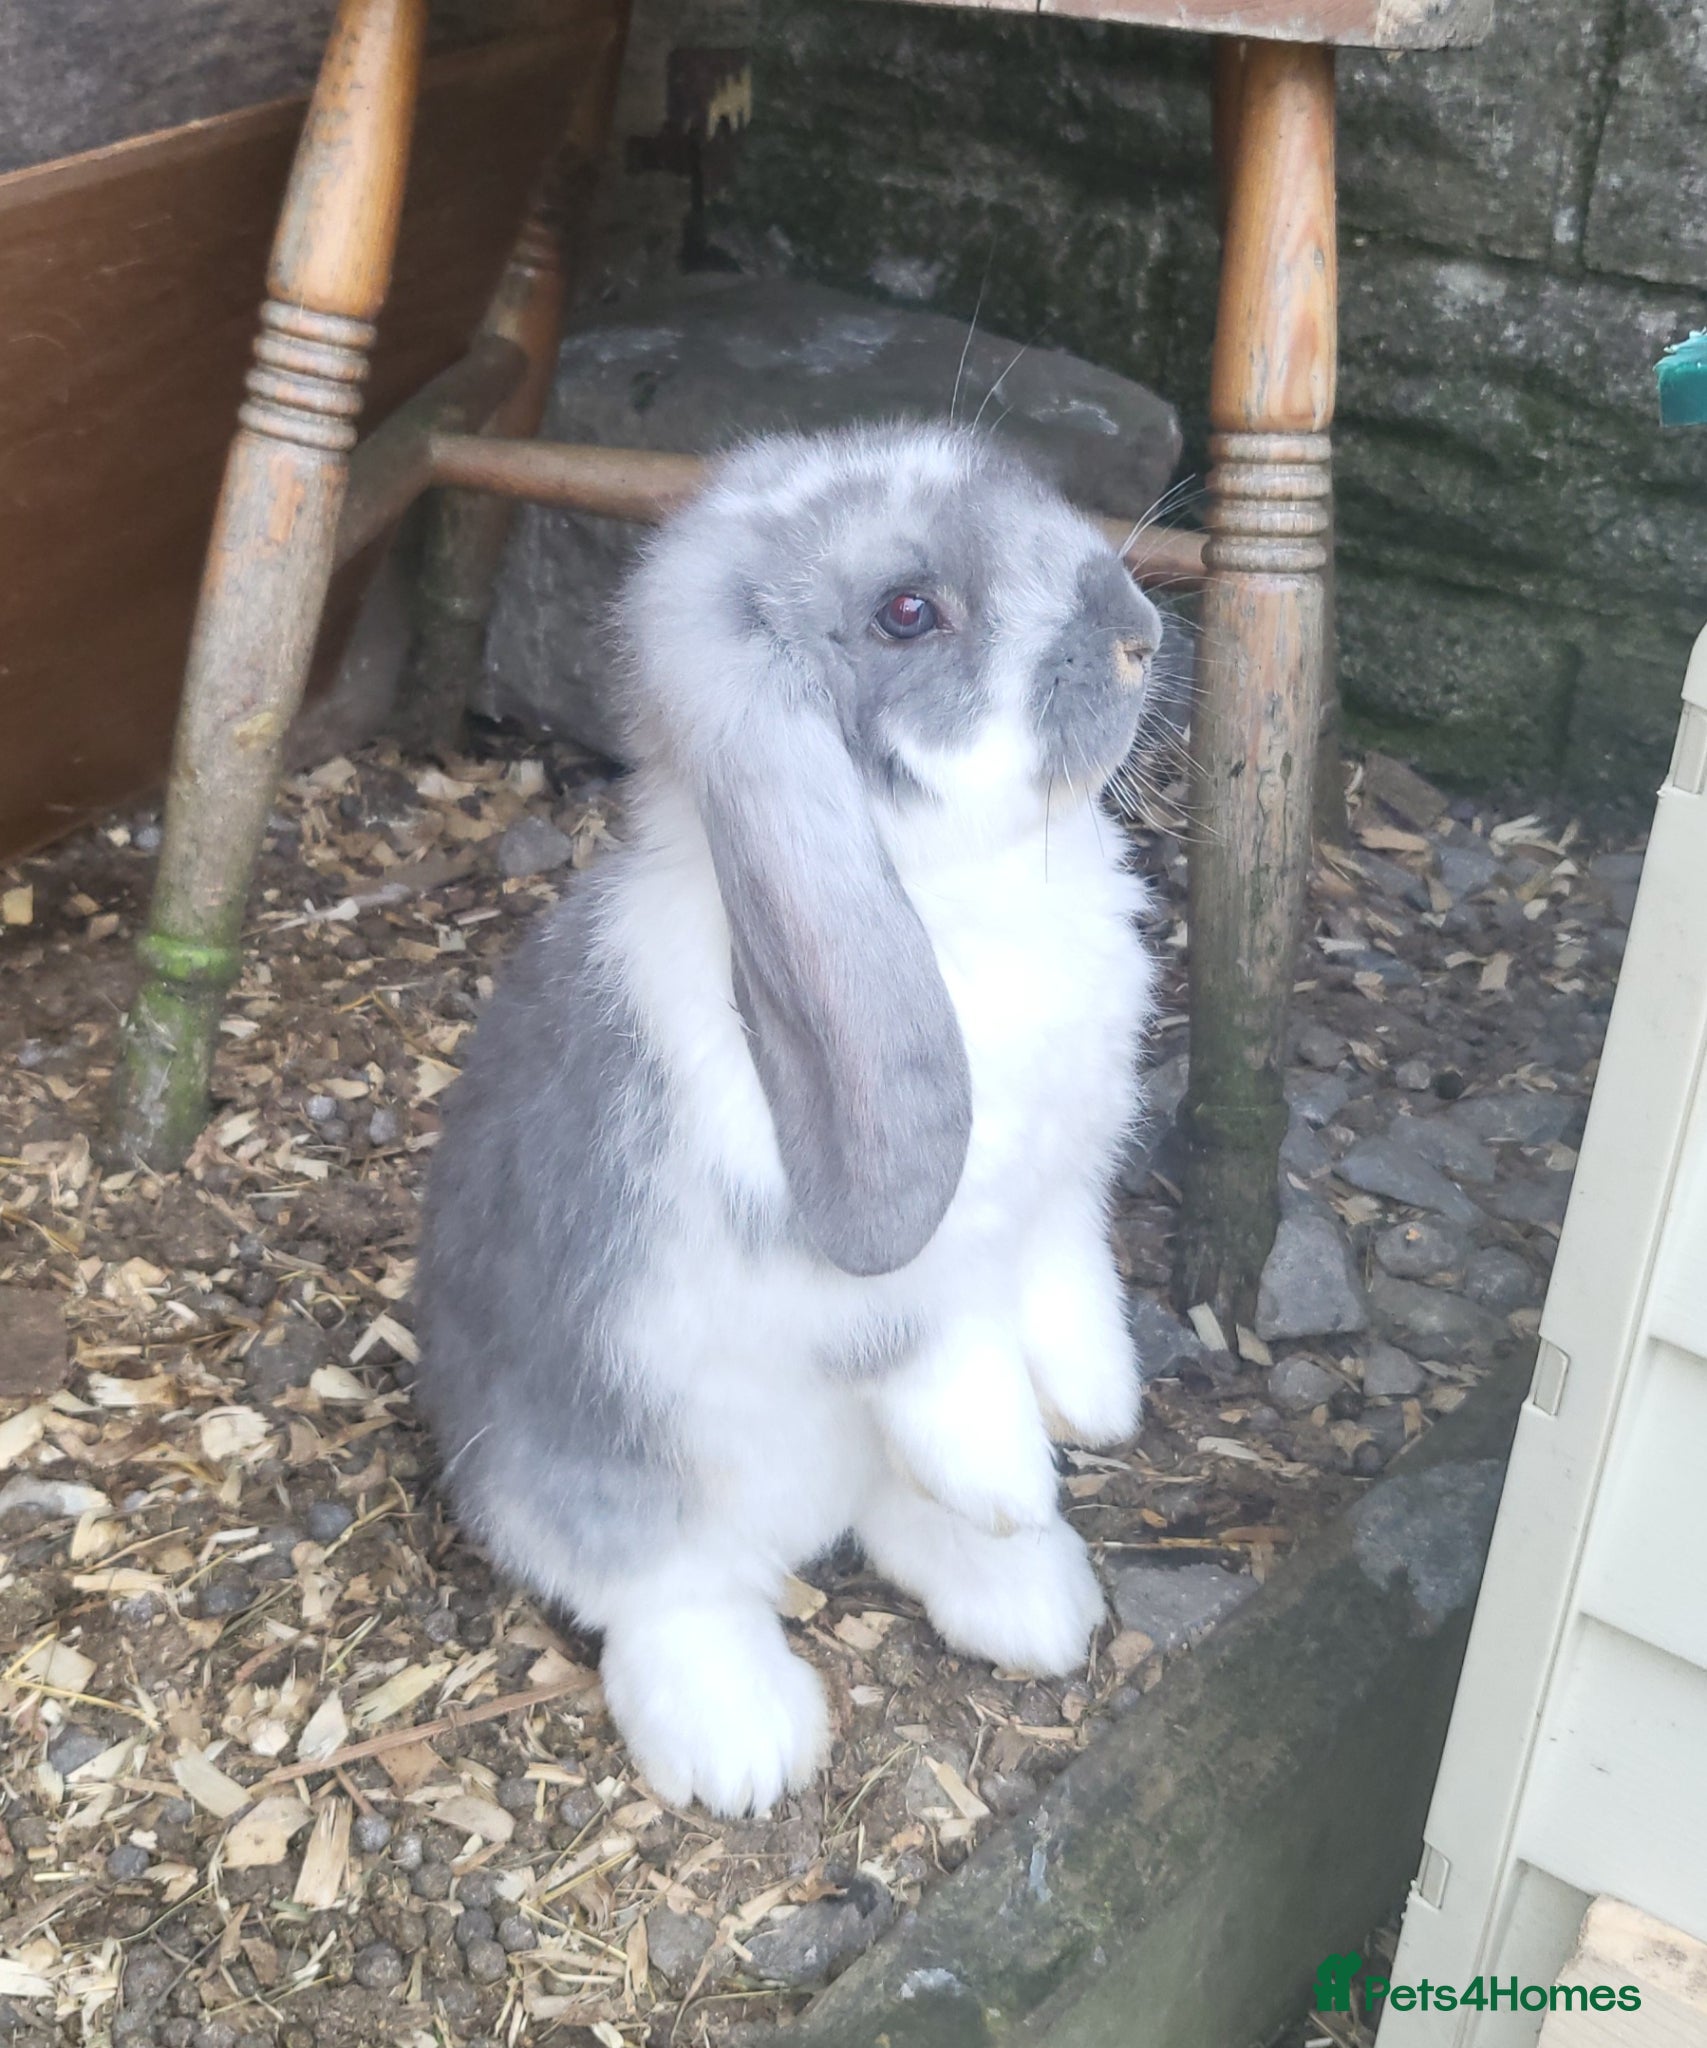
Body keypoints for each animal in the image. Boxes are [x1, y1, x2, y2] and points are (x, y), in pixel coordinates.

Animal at [414, 421, 1163, 1817]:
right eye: (907, 612)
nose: (1139, 630)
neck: (948, 890)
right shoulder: (894, 1284)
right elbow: (949, 1364)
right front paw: (1017, 1474)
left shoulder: (1061, 1198)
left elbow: (1068, 1289)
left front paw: (1099, 1409)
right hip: (608, 1485)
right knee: (670, 1594)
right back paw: (748, 1744)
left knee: (892, 1515)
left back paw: (1035, 1601)